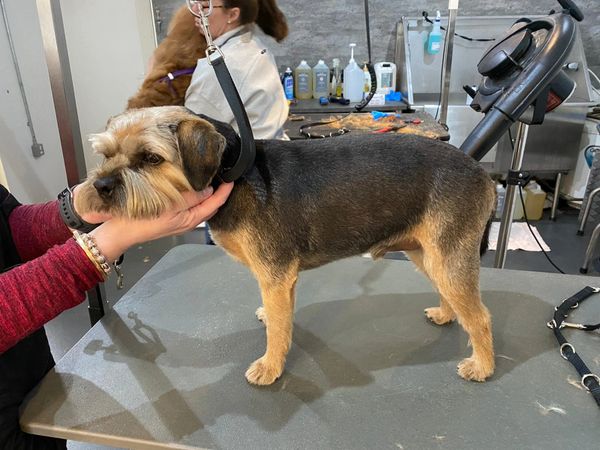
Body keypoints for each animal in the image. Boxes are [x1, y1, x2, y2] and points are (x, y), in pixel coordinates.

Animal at [76, 106, 496, 386]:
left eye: (150, 158)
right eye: (105, 154)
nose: (101, 186)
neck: (233, 171)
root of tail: (483, 174)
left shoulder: (275, 274)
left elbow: (278, 331)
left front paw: (270, 366)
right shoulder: (283, 278)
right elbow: (283, 317)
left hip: (446, 255)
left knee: (480, 316)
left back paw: (482, 366)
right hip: (427, 252)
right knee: (452, 295)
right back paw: (446, 314)